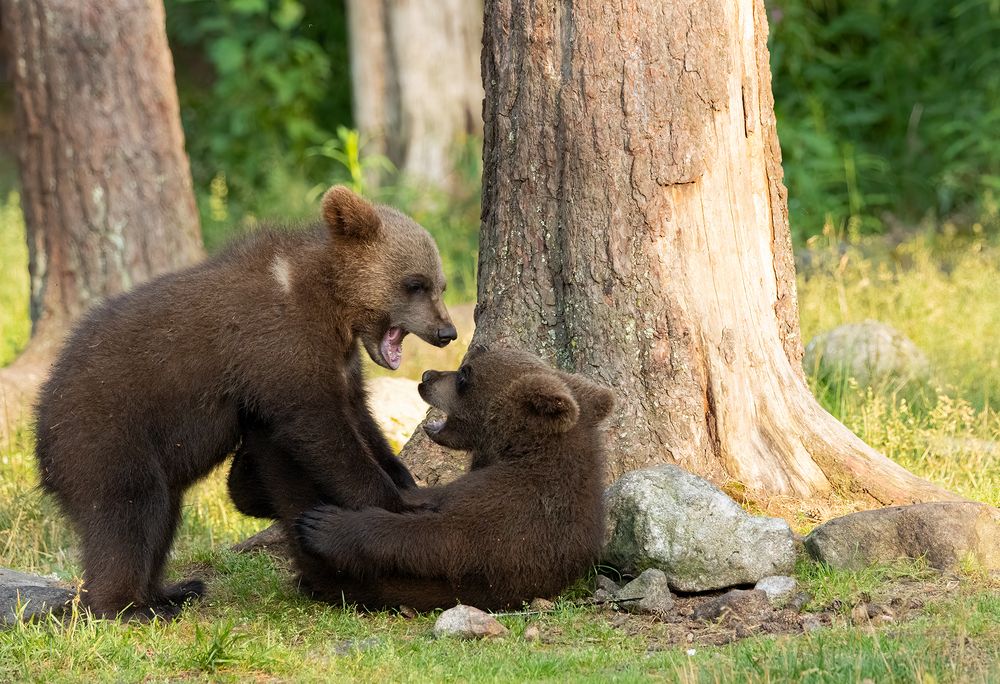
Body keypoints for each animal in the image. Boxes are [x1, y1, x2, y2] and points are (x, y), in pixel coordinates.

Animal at [34, 185, 456, 620]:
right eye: (415, 283)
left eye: (440, 284)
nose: (447, 332)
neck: (330, 302)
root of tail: (43, 427)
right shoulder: (279, 345)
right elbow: (320, 430)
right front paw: (394, 502)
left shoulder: (340, 362)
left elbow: (359, 417)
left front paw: (404, 477)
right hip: (105, 430)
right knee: (129, 513)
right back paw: (127, 606)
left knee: (162, 516)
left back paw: (172, 591)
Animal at [286, 346, 613, 612]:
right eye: (465, 367)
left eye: (464, 376)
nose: (427, 375)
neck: (514, 449)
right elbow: (432, 495)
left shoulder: (513, 508)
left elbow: (441, 538)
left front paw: (324, 524)